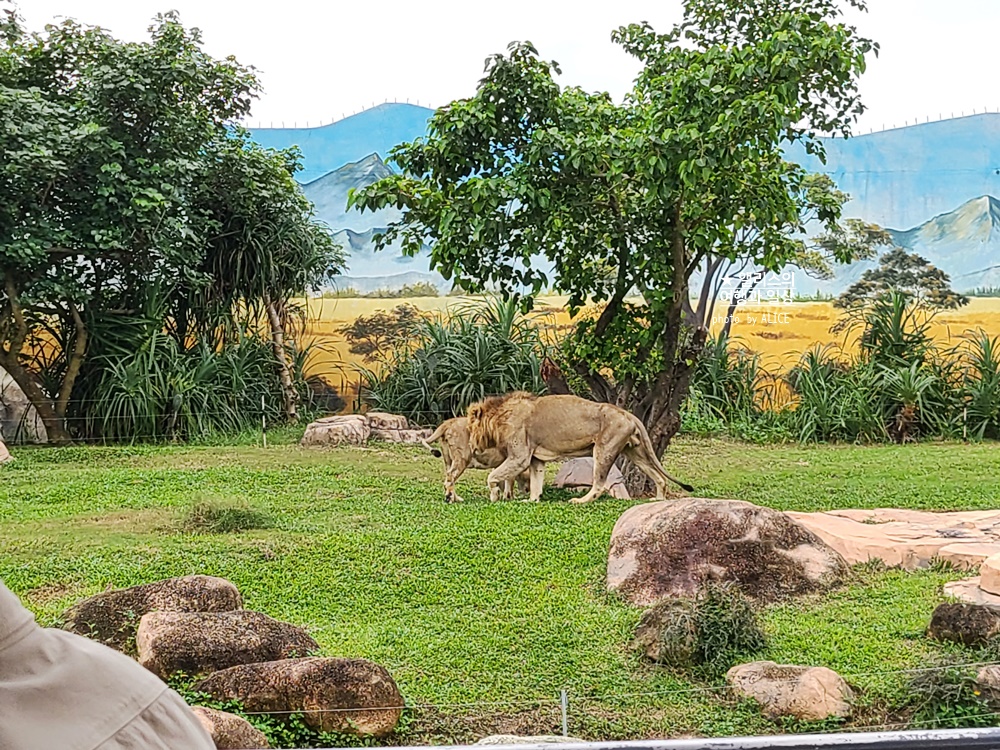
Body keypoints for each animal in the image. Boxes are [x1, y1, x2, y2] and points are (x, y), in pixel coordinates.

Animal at [464, 394, 692, 506]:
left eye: (470, 428)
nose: (471, 447)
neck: (499, 417)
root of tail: (627, 413)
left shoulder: (519, 457)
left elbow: (492, 476)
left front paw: (495, 495)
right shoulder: (535, 458)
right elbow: (536, 482)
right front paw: (531, 500)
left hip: (604, 448)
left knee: (599, 484)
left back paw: (580, 501)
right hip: (634, 453)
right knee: (659, 477)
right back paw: (658, 499)